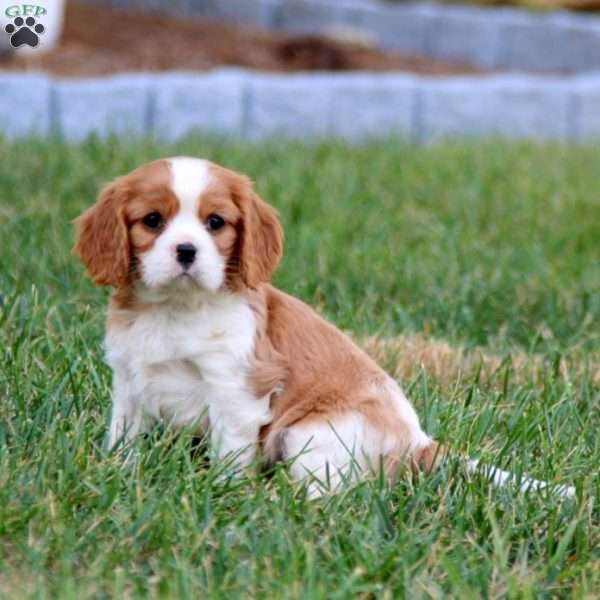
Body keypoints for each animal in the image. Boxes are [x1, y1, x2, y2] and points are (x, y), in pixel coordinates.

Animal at [74, 157, 572, 500]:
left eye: (215, 223)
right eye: (152, 221)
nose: (186, 251)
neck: (175, 311)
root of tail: (418, 444)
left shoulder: (237, 390)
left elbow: (230, 452)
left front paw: (224, 492)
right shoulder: (130, 380)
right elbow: (124, 436)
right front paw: (115, 472)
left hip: (308, 432)